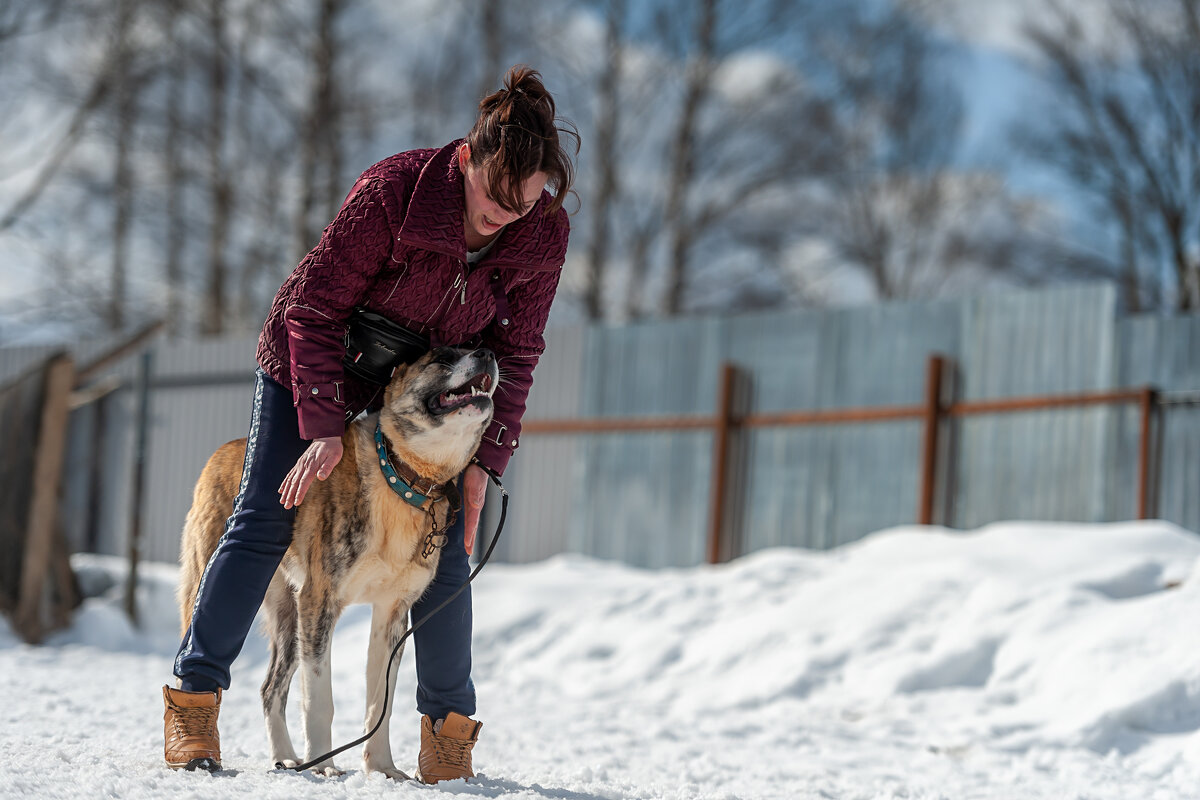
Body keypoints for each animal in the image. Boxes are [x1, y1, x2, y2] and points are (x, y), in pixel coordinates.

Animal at [175, 345, 499, 777]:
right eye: (442, 357)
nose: (488, 352)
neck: (401, 480)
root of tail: (223, 451)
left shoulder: (392, 616)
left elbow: (381, 703)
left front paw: (381, 768)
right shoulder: (319, 601)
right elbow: (320, 700)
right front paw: (323, 765)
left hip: (289, 621)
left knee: (270, 689)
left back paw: (283, 756)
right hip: (231, 585)